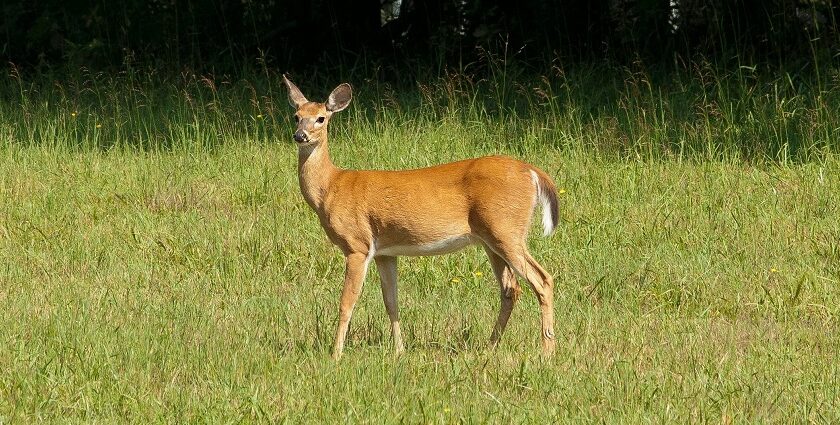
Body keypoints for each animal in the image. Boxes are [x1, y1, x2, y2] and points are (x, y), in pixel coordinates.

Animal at [282, 75, 556, 358]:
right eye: (296, 116)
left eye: (321, 118)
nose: (300, 135)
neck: (331, 187)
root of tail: (533, 172)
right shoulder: (384, 252)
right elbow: (391, 302)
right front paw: (399, 351)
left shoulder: (357, 245)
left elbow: (347, 302)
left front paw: (336, 354)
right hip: (491, 238)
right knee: (511, 288)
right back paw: (490, 347)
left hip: (506, 230)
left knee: (543, 280)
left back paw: (547, 351)